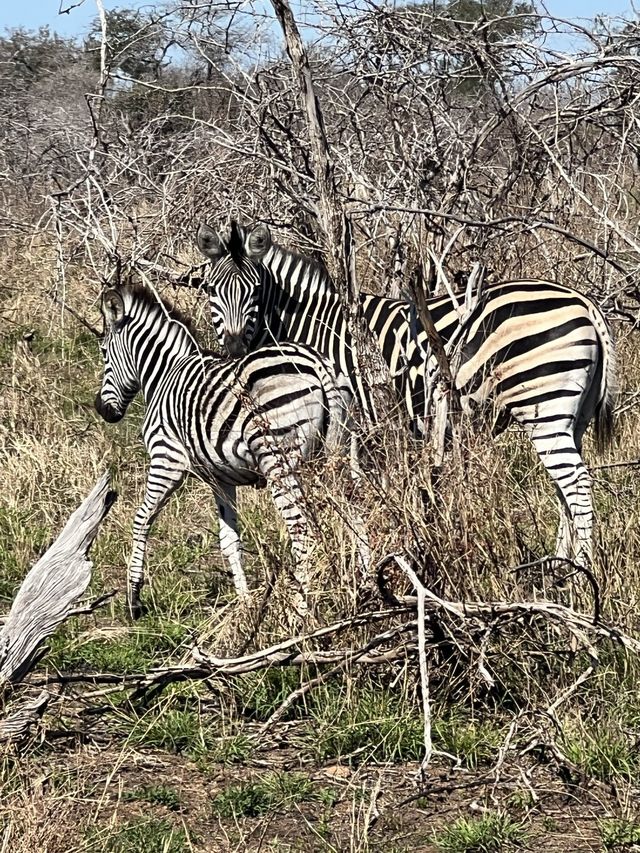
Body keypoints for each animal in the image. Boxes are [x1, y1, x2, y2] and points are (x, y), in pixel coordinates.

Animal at [93, 282, 352, 616]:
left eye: (103, 353)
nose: (102, 410)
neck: (164, 374)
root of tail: (316, 363)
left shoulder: (167, 459)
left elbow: (141, 520)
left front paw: (133, 597)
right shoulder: (221, 478)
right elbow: (229, 540)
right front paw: (246, 604)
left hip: (279, 461)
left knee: (300, 530)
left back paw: (300, 609)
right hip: (334, 453)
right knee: (353, 513)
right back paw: (364, 580)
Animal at [191, 218, 616, 572]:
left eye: (255, 291)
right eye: (211, 290)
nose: (234, 350)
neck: (316, 327)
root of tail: (583, 301)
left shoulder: (353, 423)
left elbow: (356, 495)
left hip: (544, 406)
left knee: (576, 484)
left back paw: (582, 574)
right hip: (572, 416)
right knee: (565, 489)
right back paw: (561, 566)